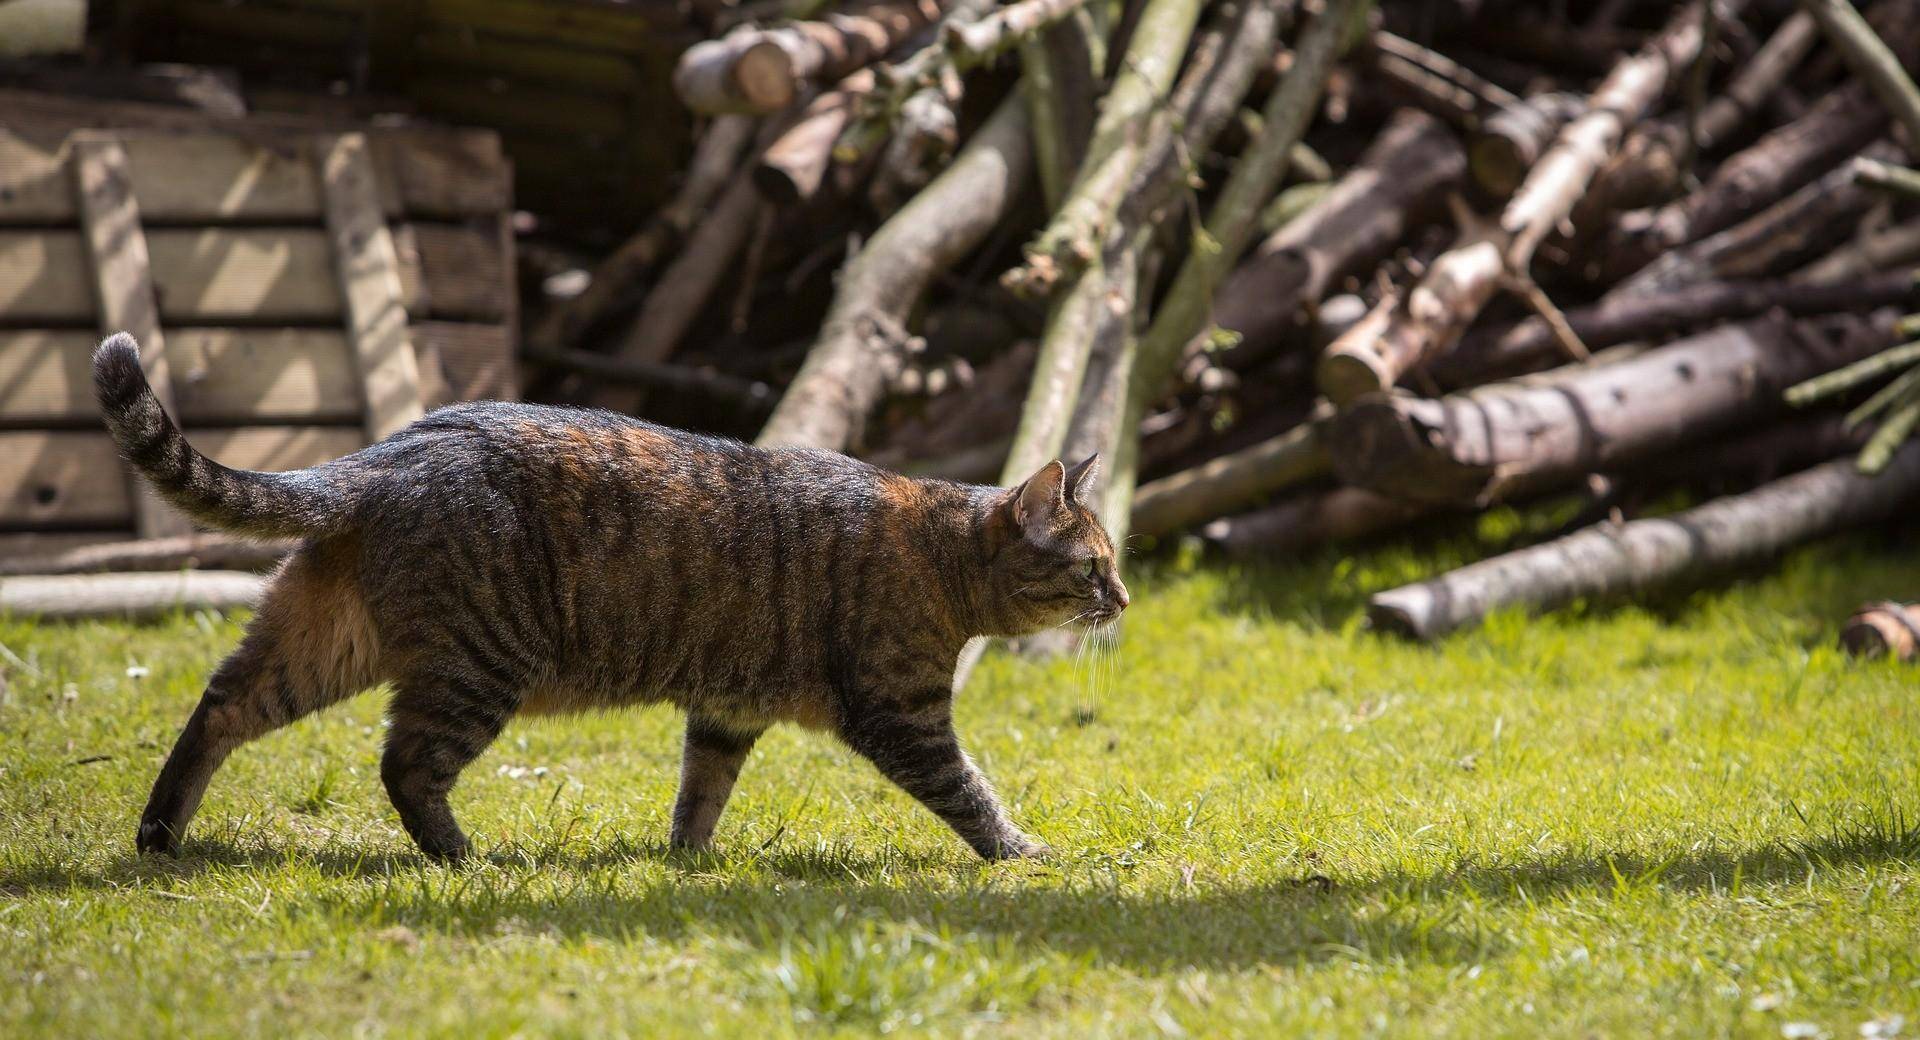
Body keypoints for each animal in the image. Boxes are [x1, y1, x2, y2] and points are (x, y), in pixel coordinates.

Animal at [93, 333, 1121, 863]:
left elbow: (699, 796)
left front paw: (688, 863)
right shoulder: (901, 714)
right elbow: (969, 790)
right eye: (1092, 566)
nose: (1123, 599)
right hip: (478, 665)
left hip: (322, 638)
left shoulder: (726, 711)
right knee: (405, 767)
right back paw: (466, 859)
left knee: (221, 705)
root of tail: (395, 448)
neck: (945, 554)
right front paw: (1022, 852)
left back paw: (158, 835)